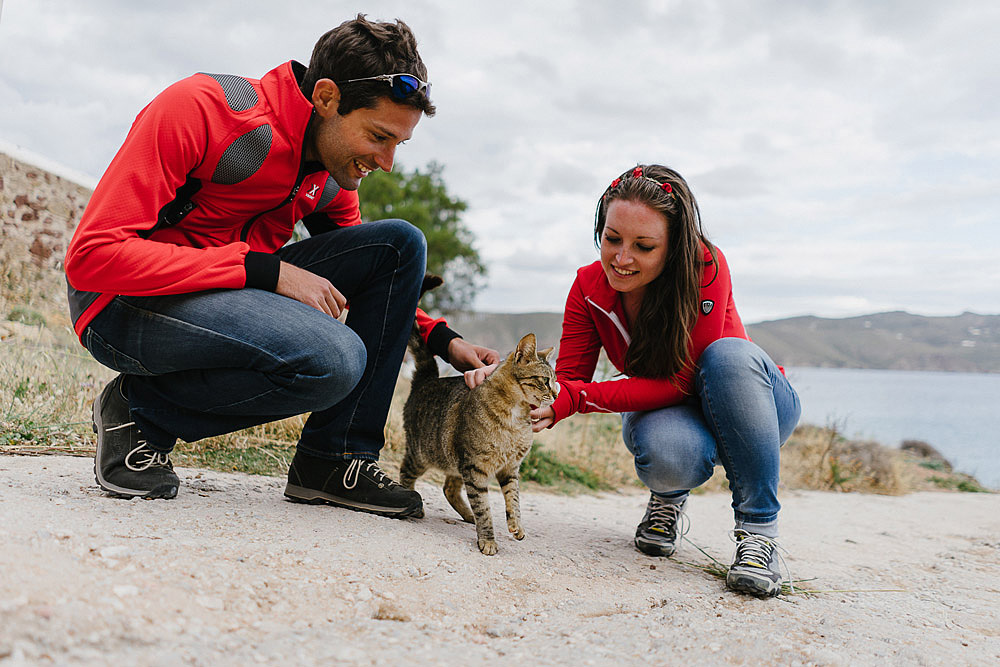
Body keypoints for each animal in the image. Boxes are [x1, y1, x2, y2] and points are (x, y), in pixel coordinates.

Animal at [400, 302, 556, 552]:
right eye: (545, 380)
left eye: (555, 380)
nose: (557, 394)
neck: (517, 419)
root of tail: (427, 379)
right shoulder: (475, 468)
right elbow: (484, 508)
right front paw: (488, 539)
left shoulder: (510, 468)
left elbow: (514, 498)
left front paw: (516, 525)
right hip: (421, 454)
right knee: (406, 472)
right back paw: (415, 505)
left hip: (455, 461)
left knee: (449, 488)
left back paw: (467, 515)